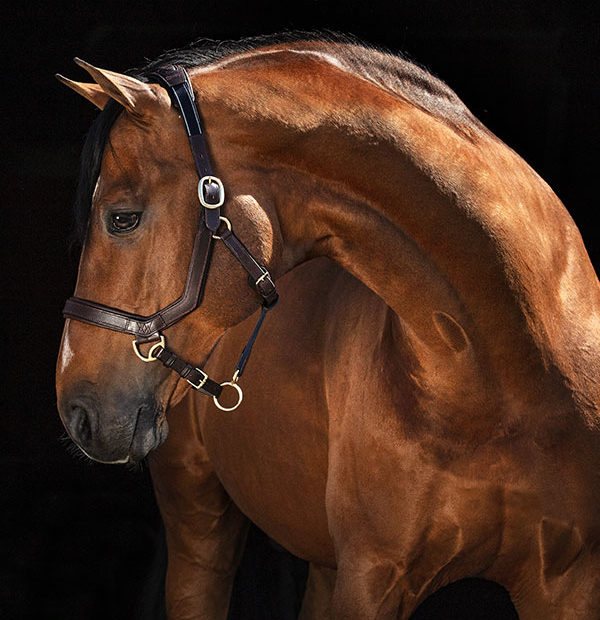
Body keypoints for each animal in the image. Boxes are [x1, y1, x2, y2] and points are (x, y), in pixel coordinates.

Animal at [54, 36, 596, 616]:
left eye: (122, 219)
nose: (75, 409)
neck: (500, 375)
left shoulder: (569, 584)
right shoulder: (374, 577)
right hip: (197, 518)